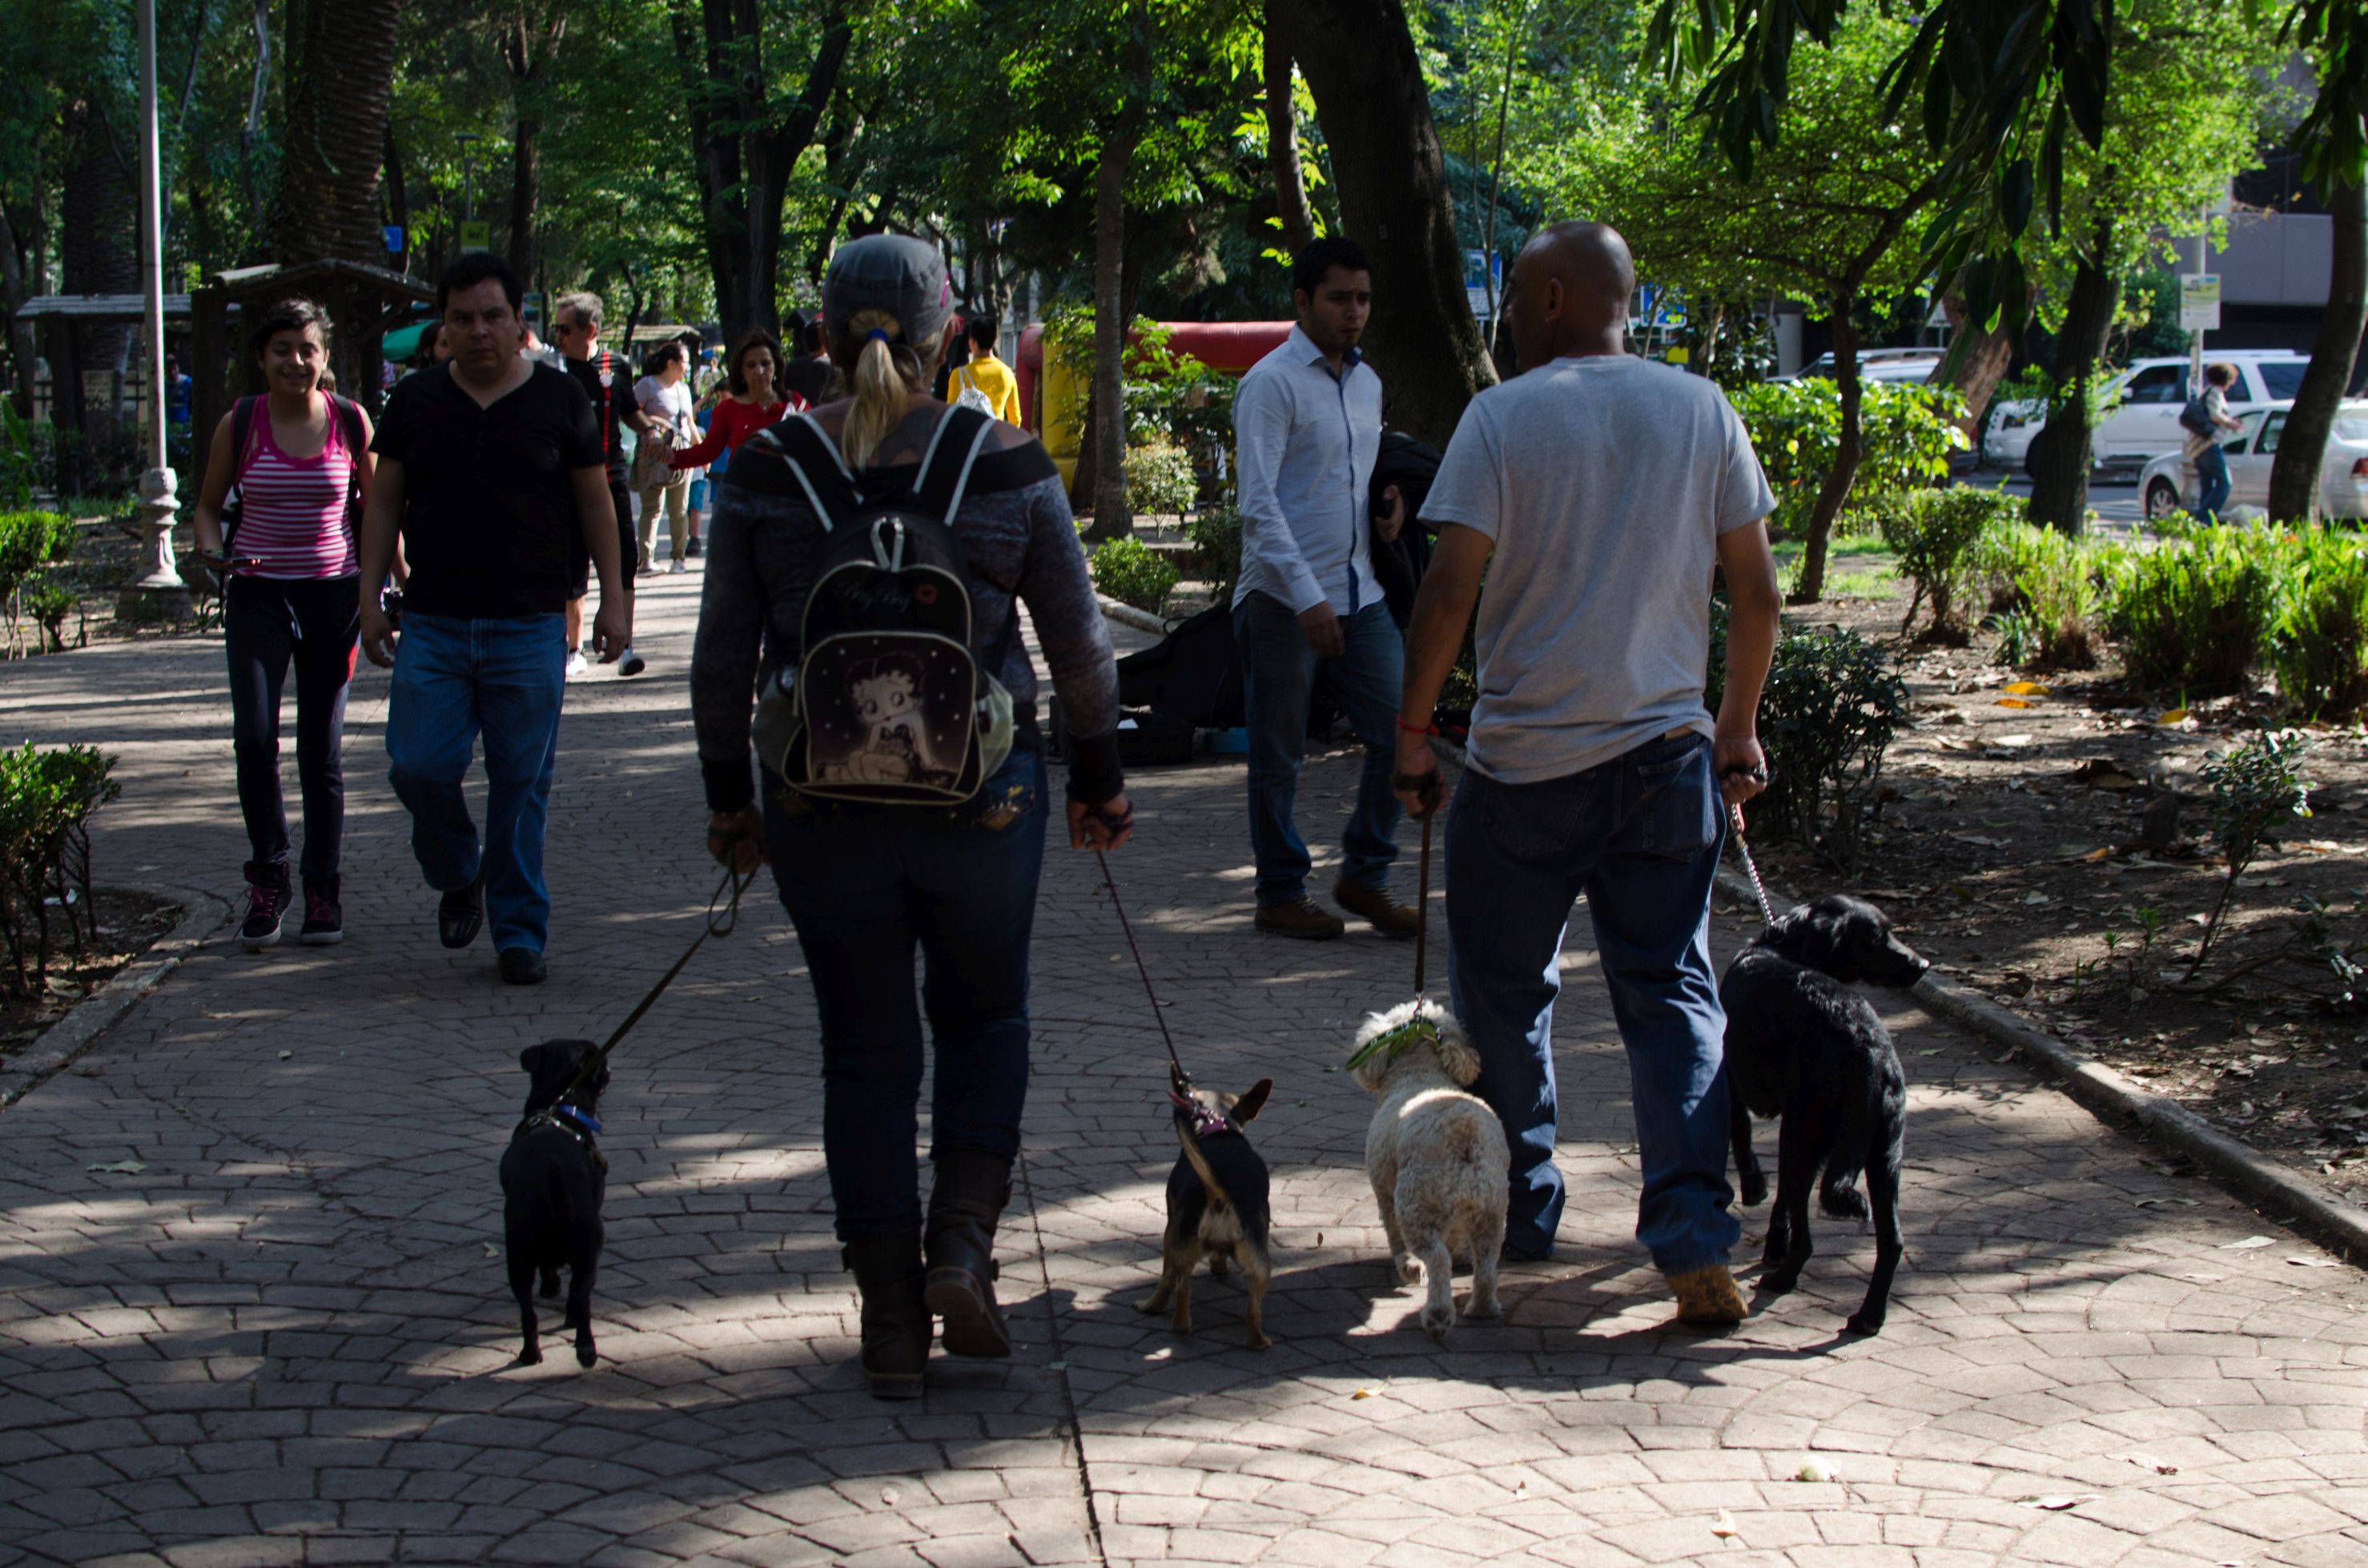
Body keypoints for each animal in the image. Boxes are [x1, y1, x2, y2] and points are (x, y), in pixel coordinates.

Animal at [501, 1051, 610, 1373]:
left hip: (519, 1258)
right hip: (589, 1252)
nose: (609, 1068)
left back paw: (530, 1353)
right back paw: (585, 1348)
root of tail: (551, 1170)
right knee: (580, 1299)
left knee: (529, 1313)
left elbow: (548, 1267)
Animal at [1146, 1070, 1278, 1354]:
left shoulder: (1171, 1227)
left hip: (1181, 1247)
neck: (1218, 1128)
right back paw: (1259, 1342)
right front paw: (1219, 1265)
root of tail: (1220, 1197)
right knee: (1253, 1310)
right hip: (1260, 1265)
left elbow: (1165, 1276)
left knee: (1179, 1287)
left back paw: (1167, 1315)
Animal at [1354, 999, 1496, 1345]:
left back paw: (1438, 1315)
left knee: (1437, 1259)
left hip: (1416, 1203)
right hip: (1491, 1209)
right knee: (1486, 1263)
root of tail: (1462, 1130)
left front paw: (1407, 1267)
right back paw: (1482, 1307)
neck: (1419, 1071)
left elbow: (1395, 1237)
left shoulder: (1385, 1193)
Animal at [1723, 895, 1923, 1336]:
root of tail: (1871, 1053)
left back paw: (1783, 1279)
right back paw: (1869, 1317)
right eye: (1877, 936)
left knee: (1808, 1237)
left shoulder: (1728, 1080)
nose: (1922, 965)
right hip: (1881, 1155)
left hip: (1804, 1135)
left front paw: (1753, 1188)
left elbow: (1741, 1138)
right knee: (1893, 1241)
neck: (1781, 945)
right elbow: (1780, 1197)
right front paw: (1773, 1243)